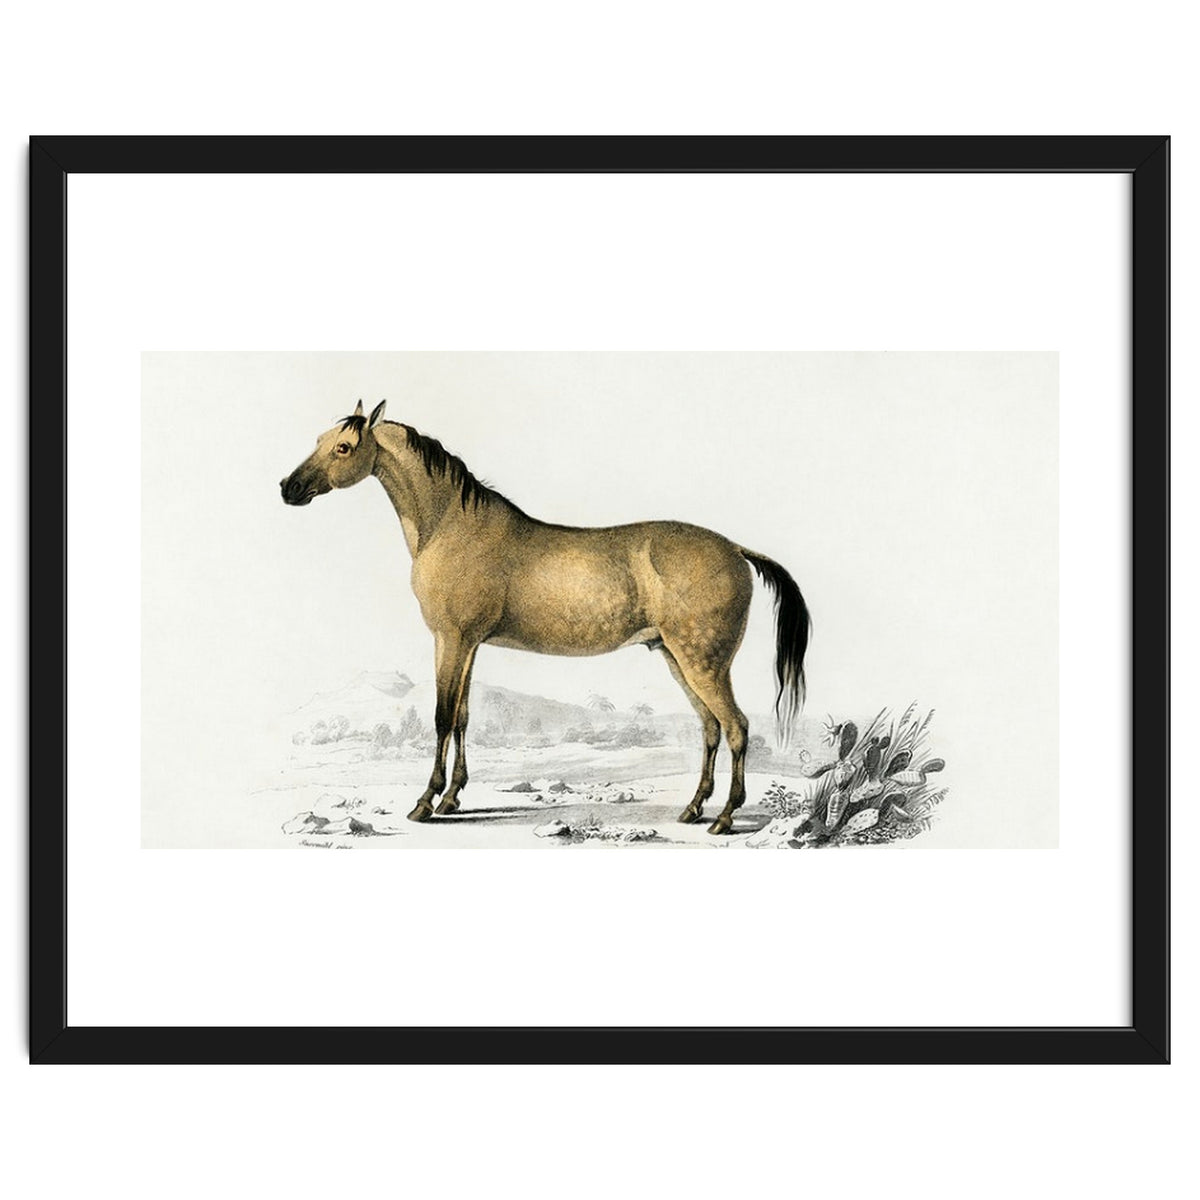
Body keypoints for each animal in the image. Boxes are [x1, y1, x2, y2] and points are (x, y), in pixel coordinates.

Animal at [281, 400, 811, 835]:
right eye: (319, 440)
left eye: (344, 447)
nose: (289, 488)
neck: (452, 525)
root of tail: (735, 549)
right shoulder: (468, 645)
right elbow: (463, 718)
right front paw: (453, 798)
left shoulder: (450, 639)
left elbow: (441, 717)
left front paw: (426, 802)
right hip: (677, 659)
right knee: (711, 728)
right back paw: (694, 809)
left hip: (703, 662)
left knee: (737, 726)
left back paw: (724, 817)